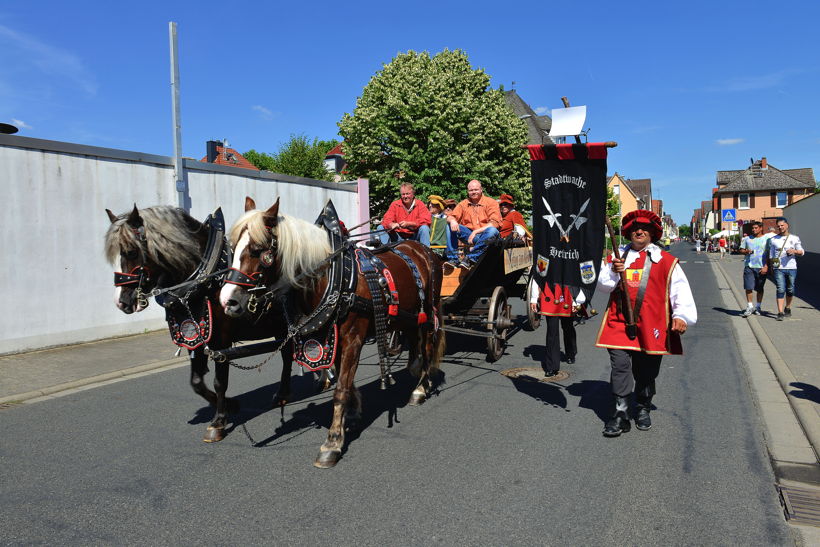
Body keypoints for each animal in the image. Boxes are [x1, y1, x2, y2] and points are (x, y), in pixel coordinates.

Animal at [103, 203, 294, 444]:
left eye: (131, 252)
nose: (121, 301)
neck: (205, 281)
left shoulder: (221, 341)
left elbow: (220, 381)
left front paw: (218, 422)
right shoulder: (195, 337)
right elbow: (196, 382)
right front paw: (231, 405)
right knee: (287, 353)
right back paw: (285, 393)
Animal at [218, 199, 446, 468]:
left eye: (257, 250)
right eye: (233, 248)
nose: (228, 301)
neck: (336, 278)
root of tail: (424, 251)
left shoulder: (353, 340)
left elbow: (340, 390)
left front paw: (333, 442)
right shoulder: (334, 338)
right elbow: (343, 379)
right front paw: (354, 412)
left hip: (428, 313)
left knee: (427, 346)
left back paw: (421, 388)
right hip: (409, 315)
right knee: (415, 342)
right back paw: (417, 372)